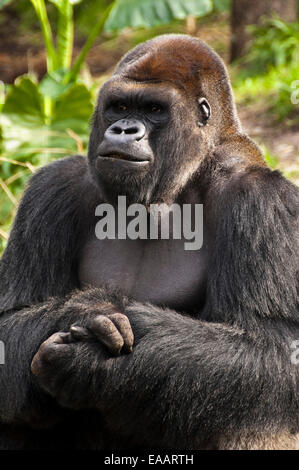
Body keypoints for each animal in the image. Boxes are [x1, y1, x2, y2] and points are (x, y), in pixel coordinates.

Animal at [0, 35, 299, 450]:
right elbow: (9, 321)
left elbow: (272, 349)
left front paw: (90, 362)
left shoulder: (262, 199)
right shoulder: (52, 188)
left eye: (154, 110)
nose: (124, 130)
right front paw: (84, 310)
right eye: (120, 107)